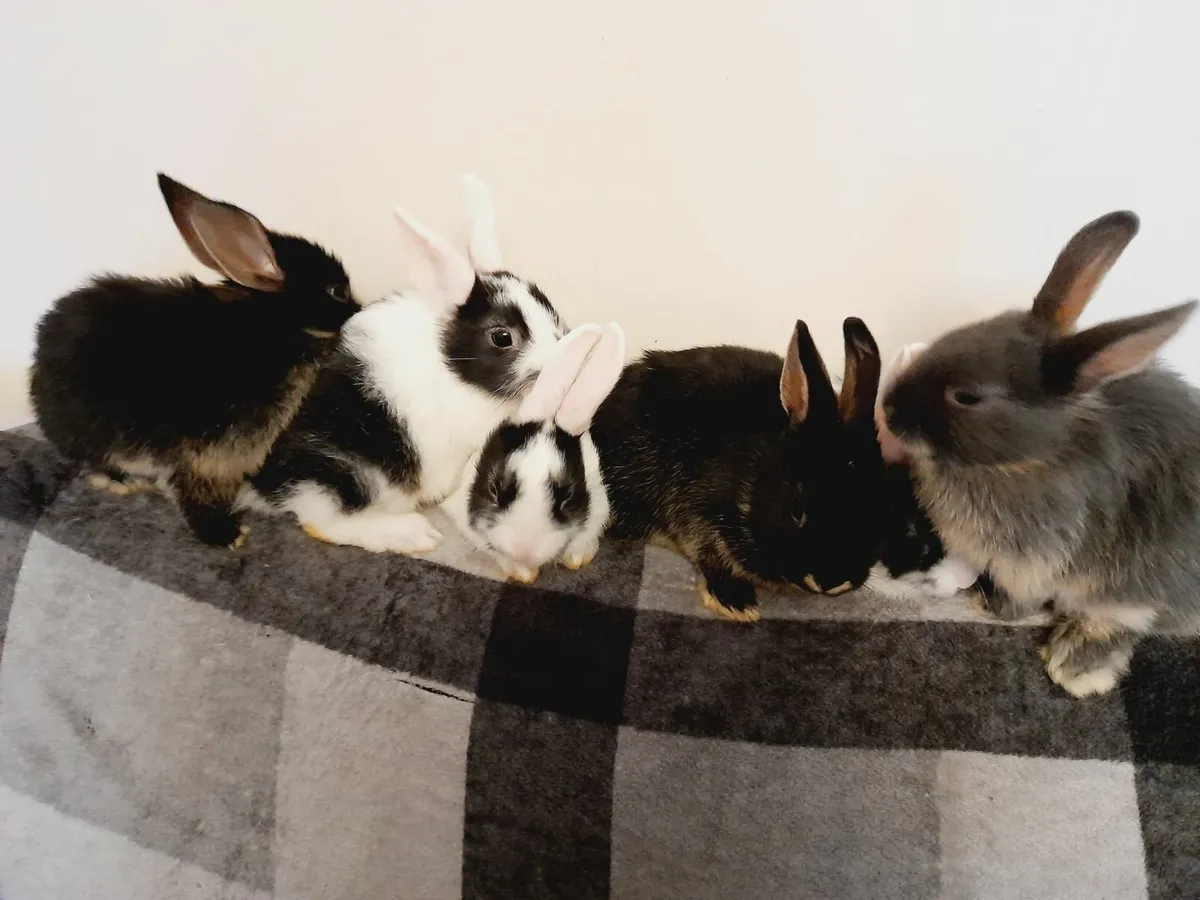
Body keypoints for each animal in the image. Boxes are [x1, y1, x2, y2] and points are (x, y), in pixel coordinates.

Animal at [29, 173, 359, 548]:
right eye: (337, 291)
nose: (361, 309)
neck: (275, 328)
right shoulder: (209, 455)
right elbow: (193, 494)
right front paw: (227, 536)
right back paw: (122, 482)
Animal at [245, 175, 568, 554]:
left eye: (551, 311)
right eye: (502, 337)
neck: (454, 372)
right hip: (344, 472)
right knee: (321, 520)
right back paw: (414, 534)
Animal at [590, 317, 888, 622]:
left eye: (882, 509)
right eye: (796, 509)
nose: (832, 581)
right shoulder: (697, 507)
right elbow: (708, 550)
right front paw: (736, 602)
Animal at [881, 209, 1200, 697]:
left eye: (967, 397)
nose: (889, 408)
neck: (1025, 460)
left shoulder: (1033, 557)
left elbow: (1022, 597)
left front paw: (994, 608)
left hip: (1139, 577)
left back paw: (1072, 666)